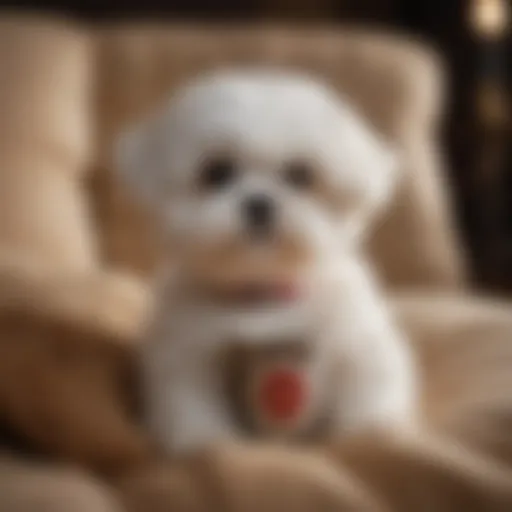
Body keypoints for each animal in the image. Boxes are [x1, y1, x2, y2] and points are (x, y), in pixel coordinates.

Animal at [116, 69, 416, 456]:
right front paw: (204, 440)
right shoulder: (187, 351)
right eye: (217, 172)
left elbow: (370, 378)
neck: (263, 293)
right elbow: (189, 397)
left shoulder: (355, 337)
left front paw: (372, 430)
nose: (259, 203)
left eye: (300, 175)